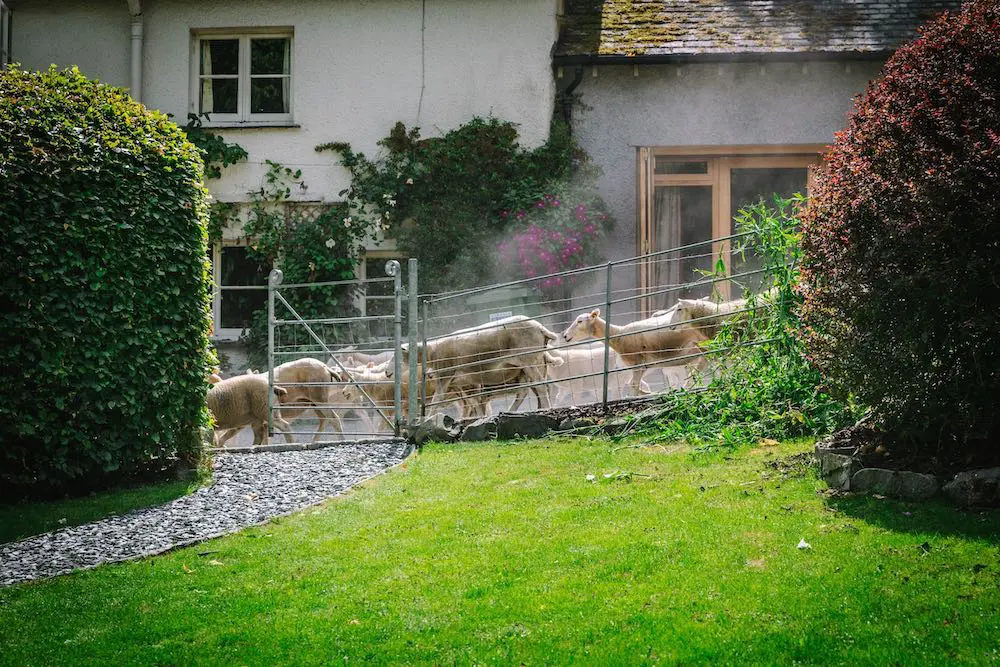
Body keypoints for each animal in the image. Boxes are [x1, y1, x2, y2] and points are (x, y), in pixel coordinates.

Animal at [564, 310, 712, 396]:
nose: (565, 336)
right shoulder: (643, 366)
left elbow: (634, 386)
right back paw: (687, 386)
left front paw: (642, 395)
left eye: (580, 321)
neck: (618, 335)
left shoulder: (637, 363)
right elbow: (634, 385)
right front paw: (646, 392)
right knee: (703, 364)